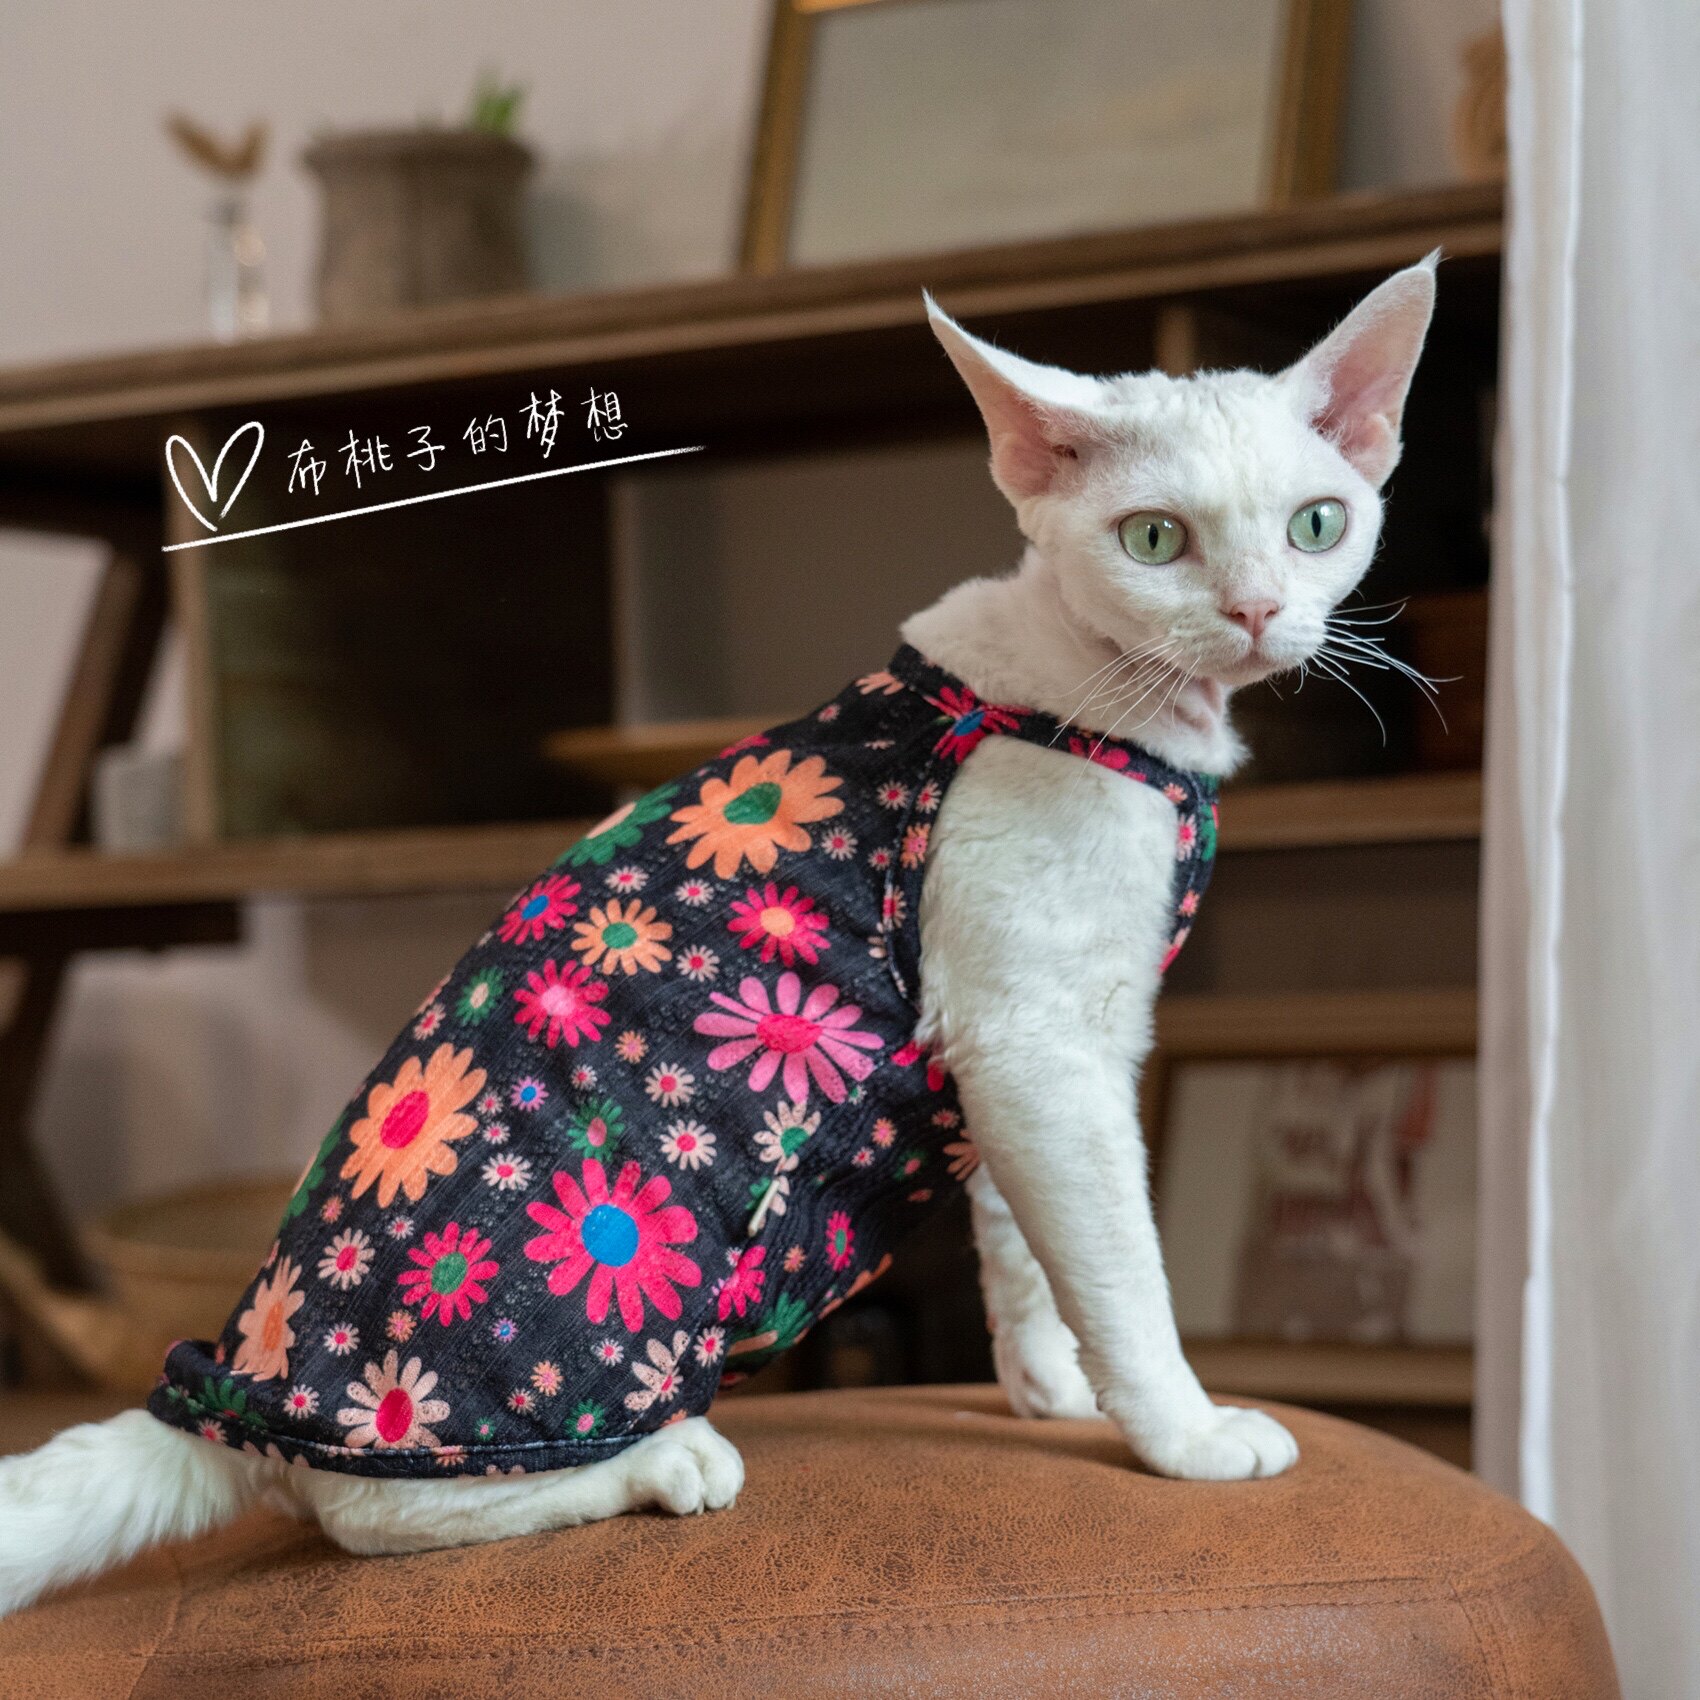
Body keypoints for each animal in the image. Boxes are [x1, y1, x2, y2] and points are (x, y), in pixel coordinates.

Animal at [0, 256, 1435, 1617]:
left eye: (1317, 525)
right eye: (1153, 539)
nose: (1255, 612)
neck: (1115, 711)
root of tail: (226, 1395)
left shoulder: (1024, 1053)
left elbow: (1031, 1261)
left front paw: (1056, 1395)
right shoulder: (1038, 1049)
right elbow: (1122, 1267)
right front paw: (1181, 1434)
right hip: (536, 1354)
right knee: (371, 1511)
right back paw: (663, 1460)